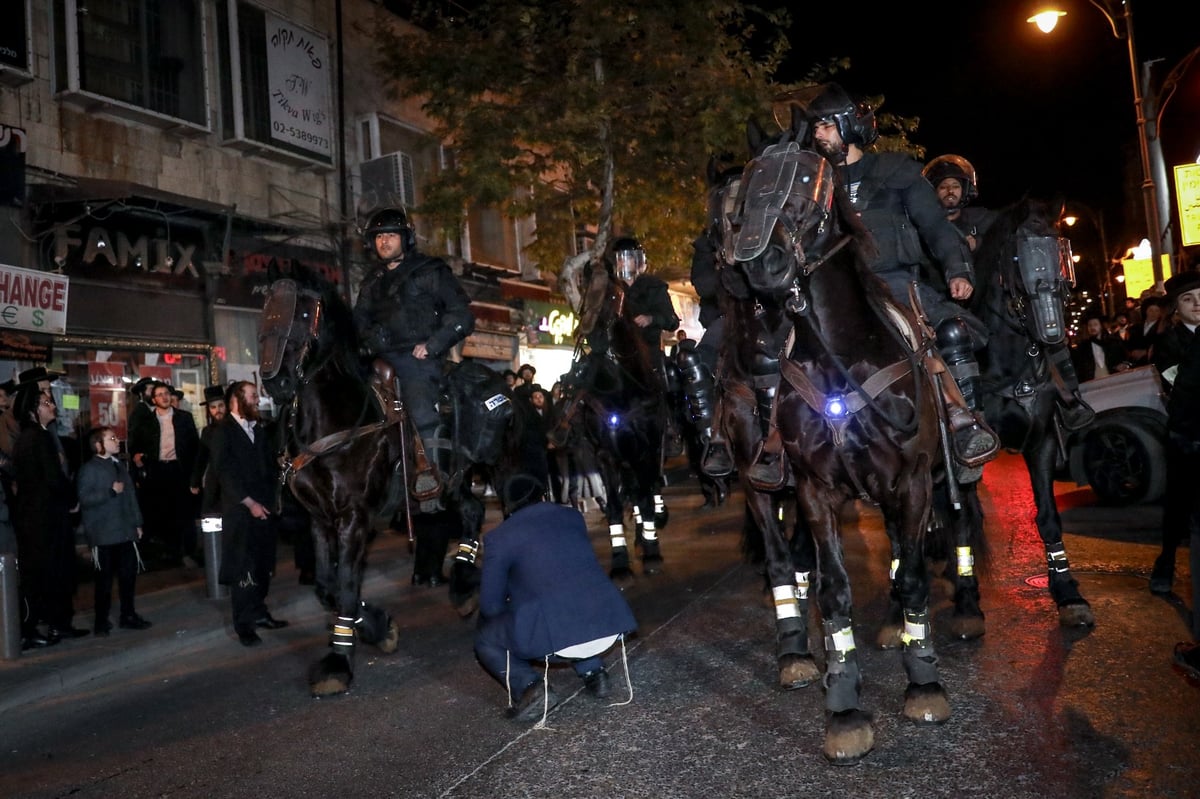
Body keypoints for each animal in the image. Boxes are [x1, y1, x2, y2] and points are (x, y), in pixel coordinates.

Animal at [258, 267, 520, 691]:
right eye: (265, 312)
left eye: (303, 313)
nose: (275, 381)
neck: (335, 420)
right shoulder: (320, 519)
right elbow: (327, 586)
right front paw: (377, 627)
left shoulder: (354, 516)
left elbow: (346, 583)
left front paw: (339, 660)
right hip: (452, 485)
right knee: (472, 511)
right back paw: (463, 584)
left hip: (469, 471)